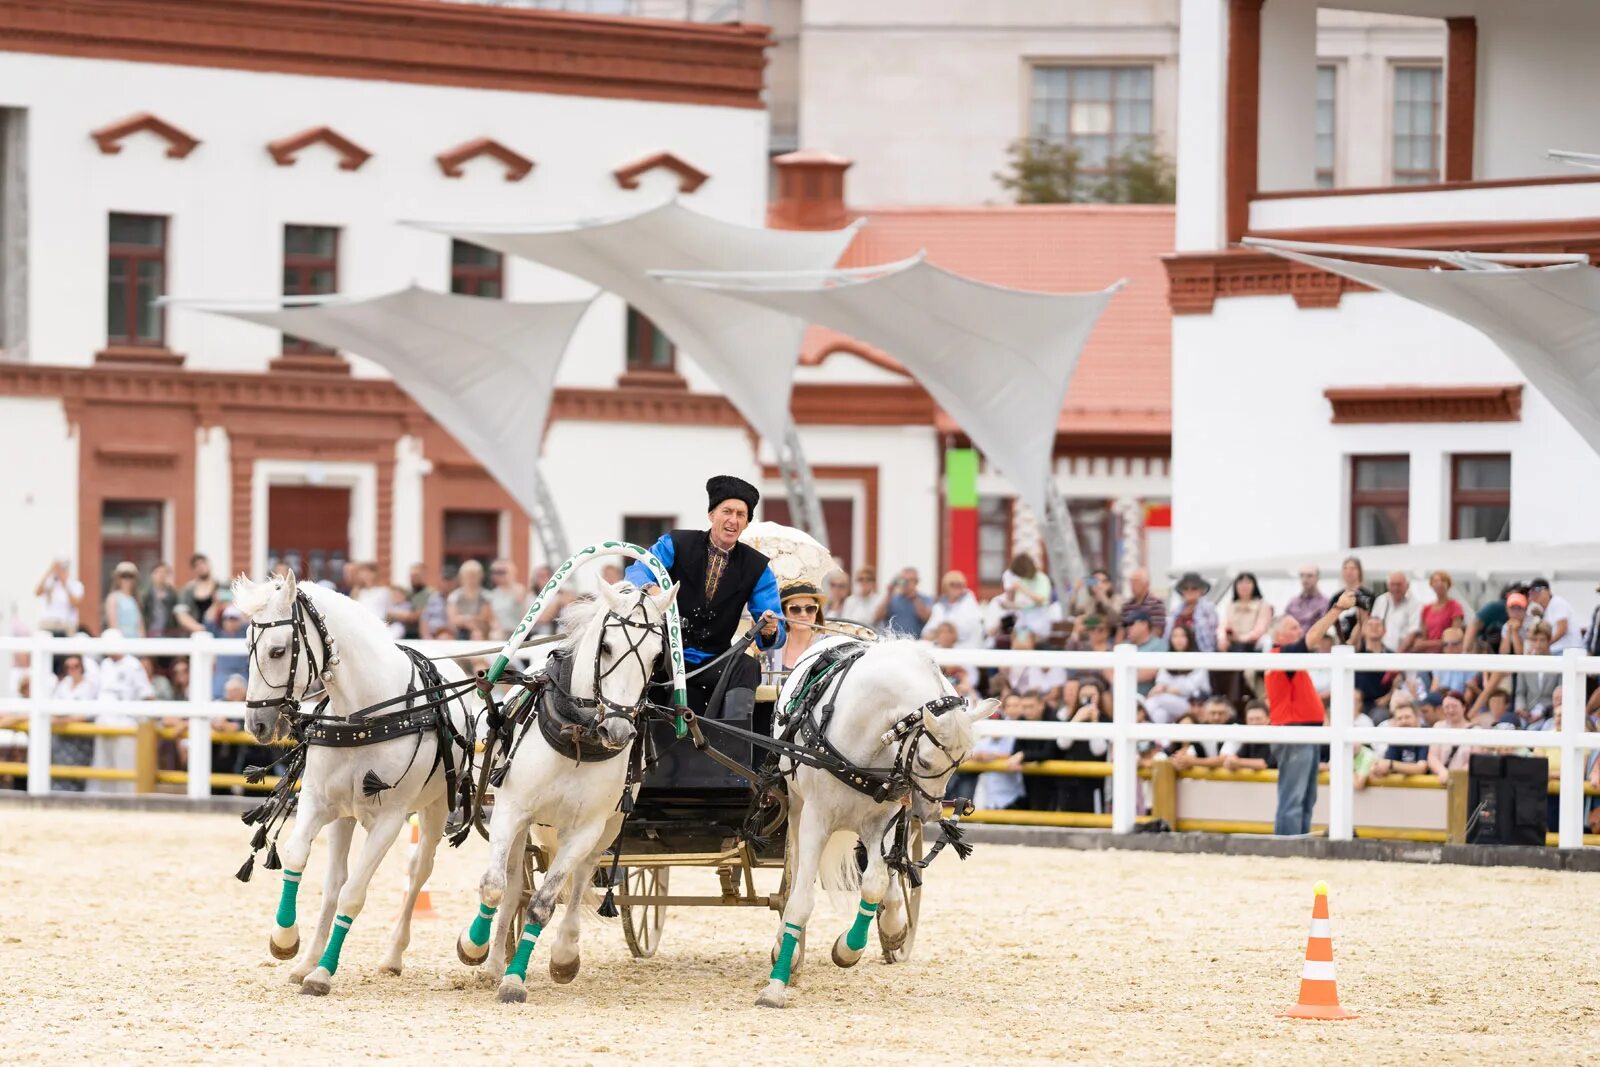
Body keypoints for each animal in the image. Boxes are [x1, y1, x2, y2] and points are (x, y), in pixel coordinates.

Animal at [233, 572, 473, 998]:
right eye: (248, 647)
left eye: (278, 651)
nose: (257, 725)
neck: (365, 715)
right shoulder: (318, 802)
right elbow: (299, 860)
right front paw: (286, 941)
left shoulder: (389, 822)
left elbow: (353, 896)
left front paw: (322, 973)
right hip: (345, 818)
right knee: (333, 883)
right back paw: (306, 959)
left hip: (434, 810)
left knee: (418, 872)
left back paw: (392, 956)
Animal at [457, 575, 675, 1004]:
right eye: (606, 647)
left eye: (658, 656)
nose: (618, 729)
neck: (577, 735)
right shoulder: (511, 810)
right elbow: (494, 888)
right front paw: (474, 947)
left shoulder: (587, 829)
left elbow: (544, 904)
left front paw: (516, 979)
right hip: (528, 829)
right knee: (512, 886)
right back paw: (492, 962)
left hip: (605, 830)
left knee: (579, 882)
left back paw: (564, 954)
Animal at [755, 633, 992, 1011]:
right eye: (925, 761)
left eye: (962, 761)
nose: (929, 814)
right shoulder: (816, 819)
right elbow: (801, 900)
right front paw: (776, 983)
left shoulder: (882, 818)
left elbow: (875, 884)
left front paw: (850, 948)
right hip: (797, 807)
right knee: (795, 875)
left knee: (889, 873)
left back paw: (893, 927)